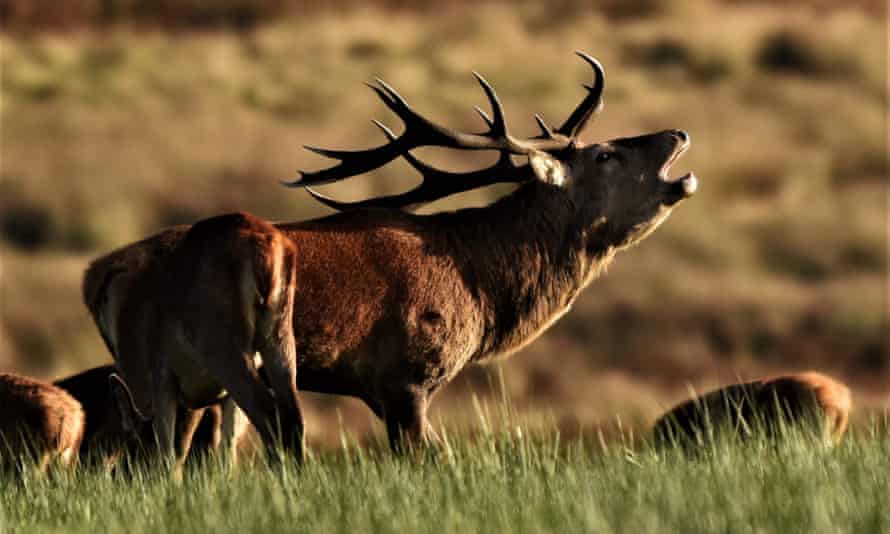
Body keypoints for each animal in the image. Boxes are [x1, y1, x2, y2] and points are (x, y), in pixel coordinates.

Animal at [81, 52, 697, 464]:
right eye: (606, 154)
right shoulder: (406, 377)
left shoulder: (381, 391)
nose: (677, 132)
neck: (478, 285)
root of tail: (98, 273)